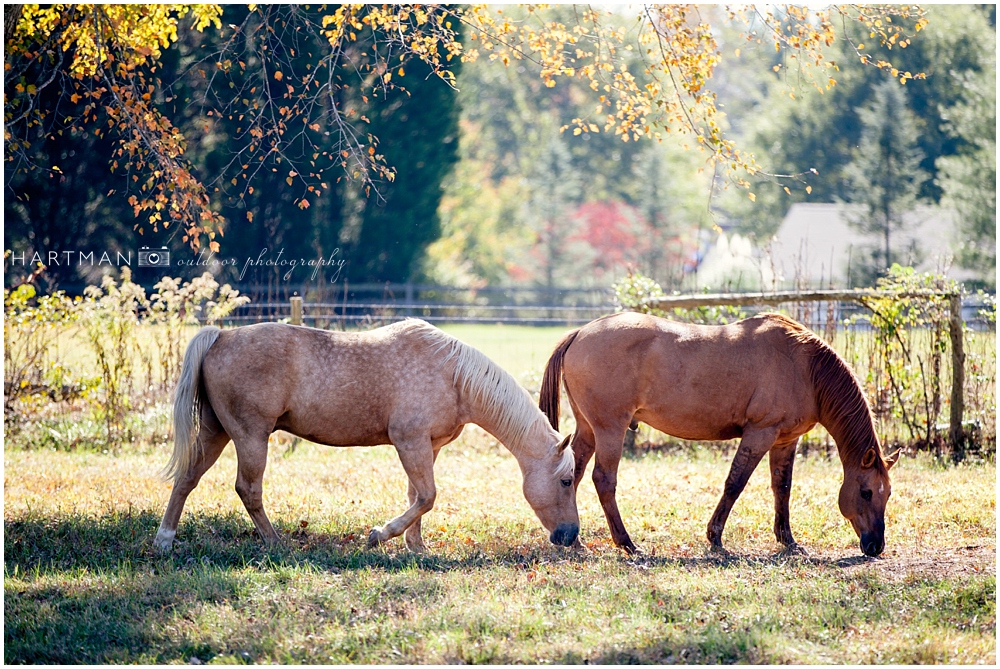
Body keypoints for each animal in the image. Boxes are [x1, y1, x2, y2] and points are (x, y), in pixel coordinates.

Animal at [155, 318, 580, 552]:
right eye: (566, 480)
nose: (569, 535)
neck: (453, 375)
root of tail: (221, 336)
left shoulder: (428, 447)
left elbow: (418, 496)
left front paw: (416, 547)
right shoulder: (409, 442)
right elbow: (427, 496)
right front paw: (380, 536)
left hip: (216, 432)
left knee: (188, 478)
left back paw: (164, 540)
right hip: (250, 436)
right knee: (248, 489)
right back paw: (276, 544)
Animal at [544, 310, 904, 556]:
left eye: (888, 494)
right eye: (866, 492)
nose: (876, 546)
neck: (805, 367)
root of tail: (580, 333)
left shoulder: (786, 441)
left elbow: (782, 489)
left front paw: (788, 541)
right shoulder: (760, 434)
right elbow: (735, 483)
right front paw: (715, 538)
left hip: (589, 429)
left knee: (573, 474)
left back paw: (574, 541)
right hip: (610, 429)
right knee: (603, 480)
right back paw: (628, 544)